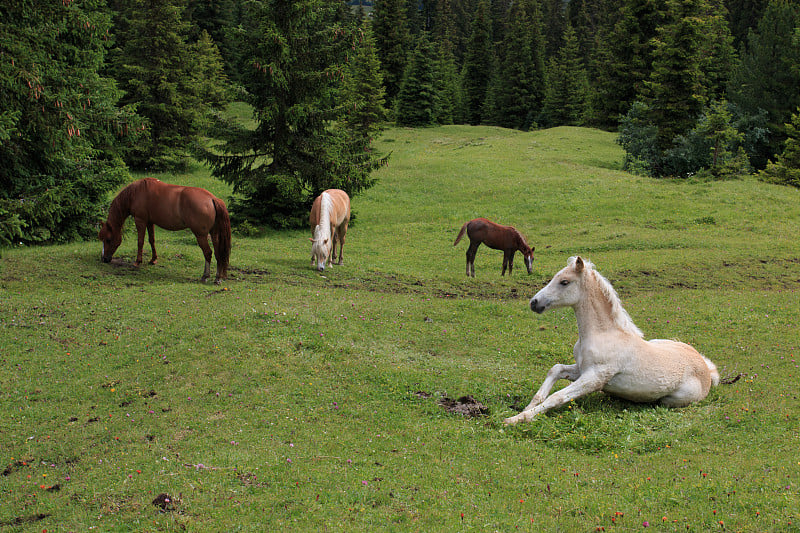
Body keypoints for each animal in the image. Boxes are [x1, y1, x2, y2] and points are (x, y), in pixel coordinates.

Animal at [99, 177, 231, 282]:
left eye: (108, 239)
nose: (104, 259)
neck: (137, 192)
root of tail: (212, 199)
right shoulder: (150, 222)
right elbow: (151, 240)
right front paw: (153, 260)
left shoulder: (140, 220)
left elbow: (140, 241)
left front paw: (138, 261)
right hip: (214, 234)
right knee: (218, 253)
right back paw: (218, 277)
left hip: (201, 235)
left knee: (208, 253)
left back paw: (205, 276)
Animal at [506, 256, 720, 426]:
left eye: (564, 282)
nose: (534, 303)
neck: (602, 334)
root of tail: (707, 370)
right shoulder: (581, 369)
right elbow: (555, 369)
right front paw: (527, 408)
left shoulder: (594, 377)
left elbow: (557, 397)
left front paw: (516, 419)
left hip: (674, 399)